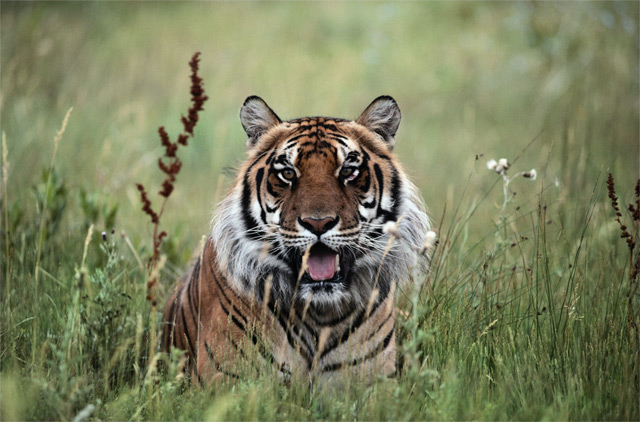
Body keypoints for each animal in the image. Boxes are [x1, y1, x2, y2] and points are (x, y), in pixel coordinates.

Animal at [161, 95, 431, 386]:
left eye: (348, 171)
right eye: (288, 174)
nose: (318, 223)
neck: (321, 315)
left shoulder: (376, 383)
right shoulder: (227, 382)